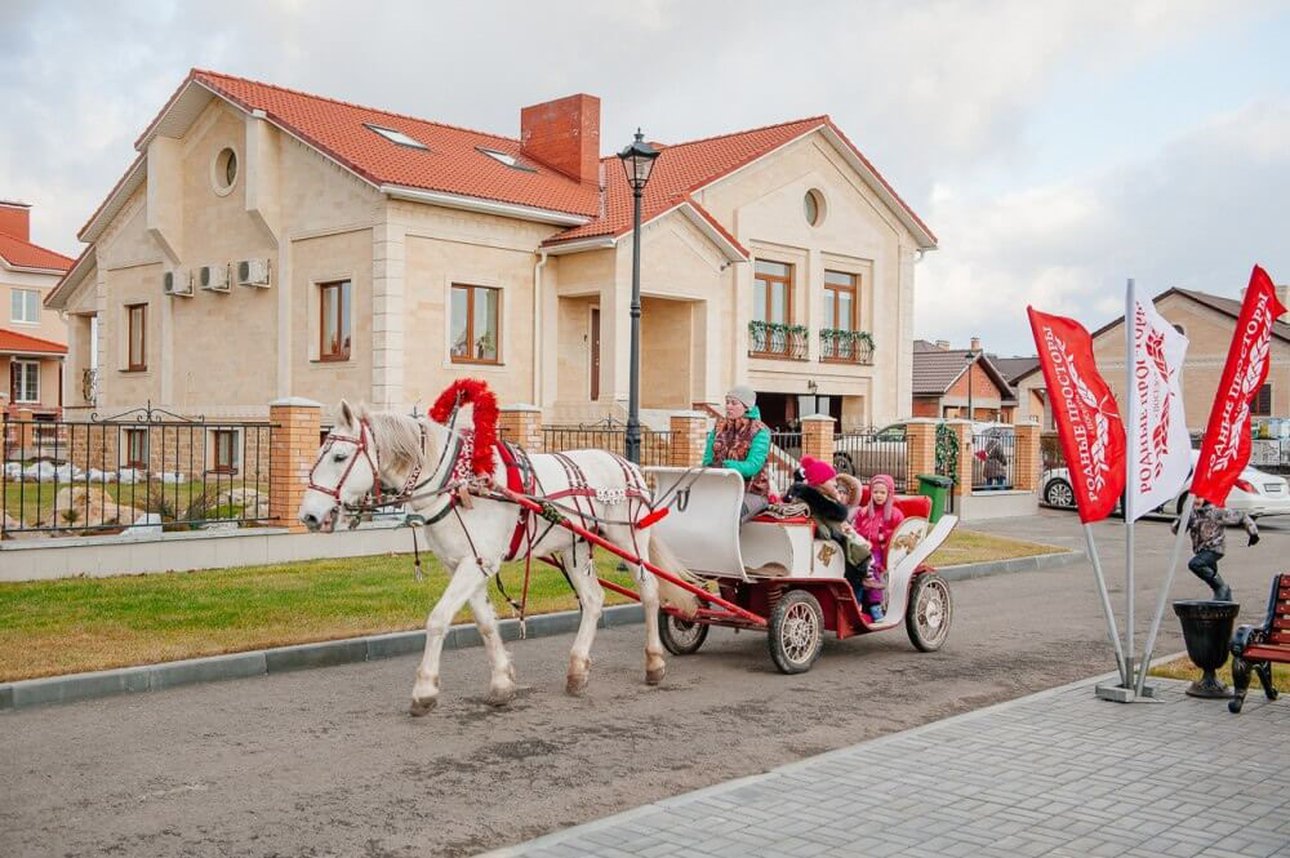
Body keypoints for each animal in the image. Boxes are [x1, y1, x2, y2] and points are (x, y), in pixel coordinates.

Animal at [296, 397, 701, 712]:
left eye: (339, 456)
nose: (309, 516)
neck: (460, 484)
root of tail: (628, 464)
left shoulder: (478, 564)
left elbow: (438, 618)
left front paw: (425, 689)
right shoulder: (465, 565)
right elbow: (486, 624)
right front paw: (502, 683)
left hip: (629, 542)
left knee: (650, 594)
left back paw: (653, 662)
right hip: (574, 549)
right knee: (593, 599)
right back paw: (576, 670)